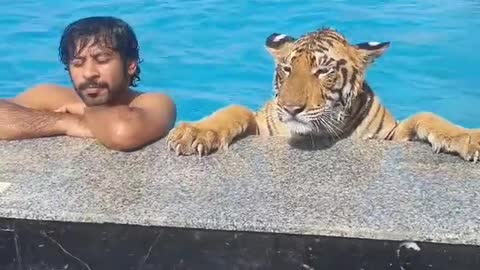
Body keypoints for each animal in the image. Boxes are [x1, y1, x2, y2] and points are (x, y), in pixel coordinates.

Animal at [166, 27, 480, 162]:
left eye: (323, 71)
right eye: (287, 69)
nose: (291, 108)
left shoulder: (392, 135)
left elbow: (425, 116)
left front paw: (468, 138)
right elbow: (234, 110)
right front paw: (194, 133)